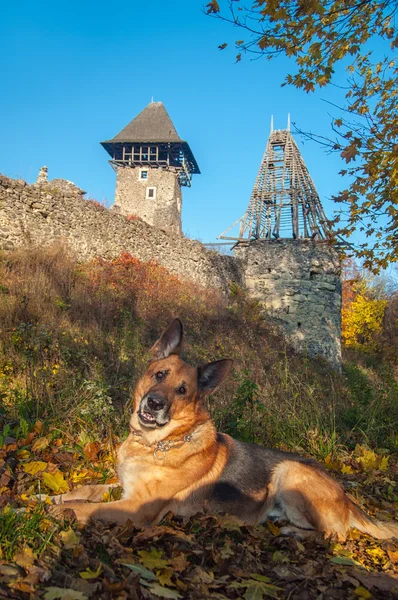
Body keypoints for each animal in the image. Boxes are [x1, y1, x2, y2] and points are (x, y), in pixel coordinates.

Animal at [53, 322, 398, 540]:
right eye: (159, 374)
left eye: (182, 390)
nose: (154, 404)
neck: (159, 443)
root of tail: (347, 497)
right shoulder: (124, 488)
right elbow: (83, 491)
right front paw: (50, 497)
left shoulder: (137, 509)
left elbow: (87, 508)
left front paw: (54, 511)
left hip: (288, 471)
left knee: (332, 534)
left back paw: (292, 532)